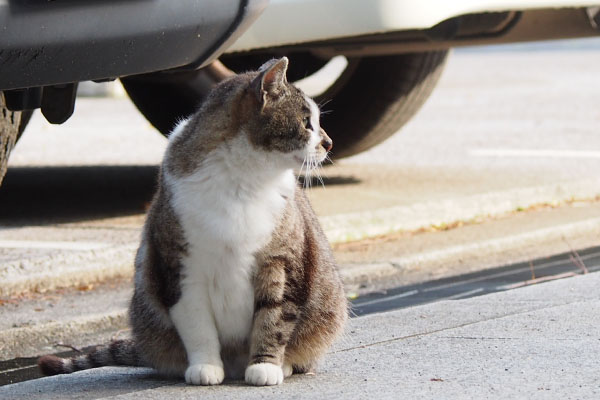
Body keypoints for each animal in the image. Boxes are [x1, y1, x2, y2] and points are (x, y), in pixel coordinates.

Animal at [38, 57, 346, 386]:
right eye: (307, 122)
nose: (329, 142)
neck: (244, 177)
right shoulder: (180, 267)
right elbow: (197, 326)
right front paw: (205, 367)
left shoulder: (281, 262)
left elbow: (274, 316)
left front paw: (265, 365)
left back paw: (285, 365)